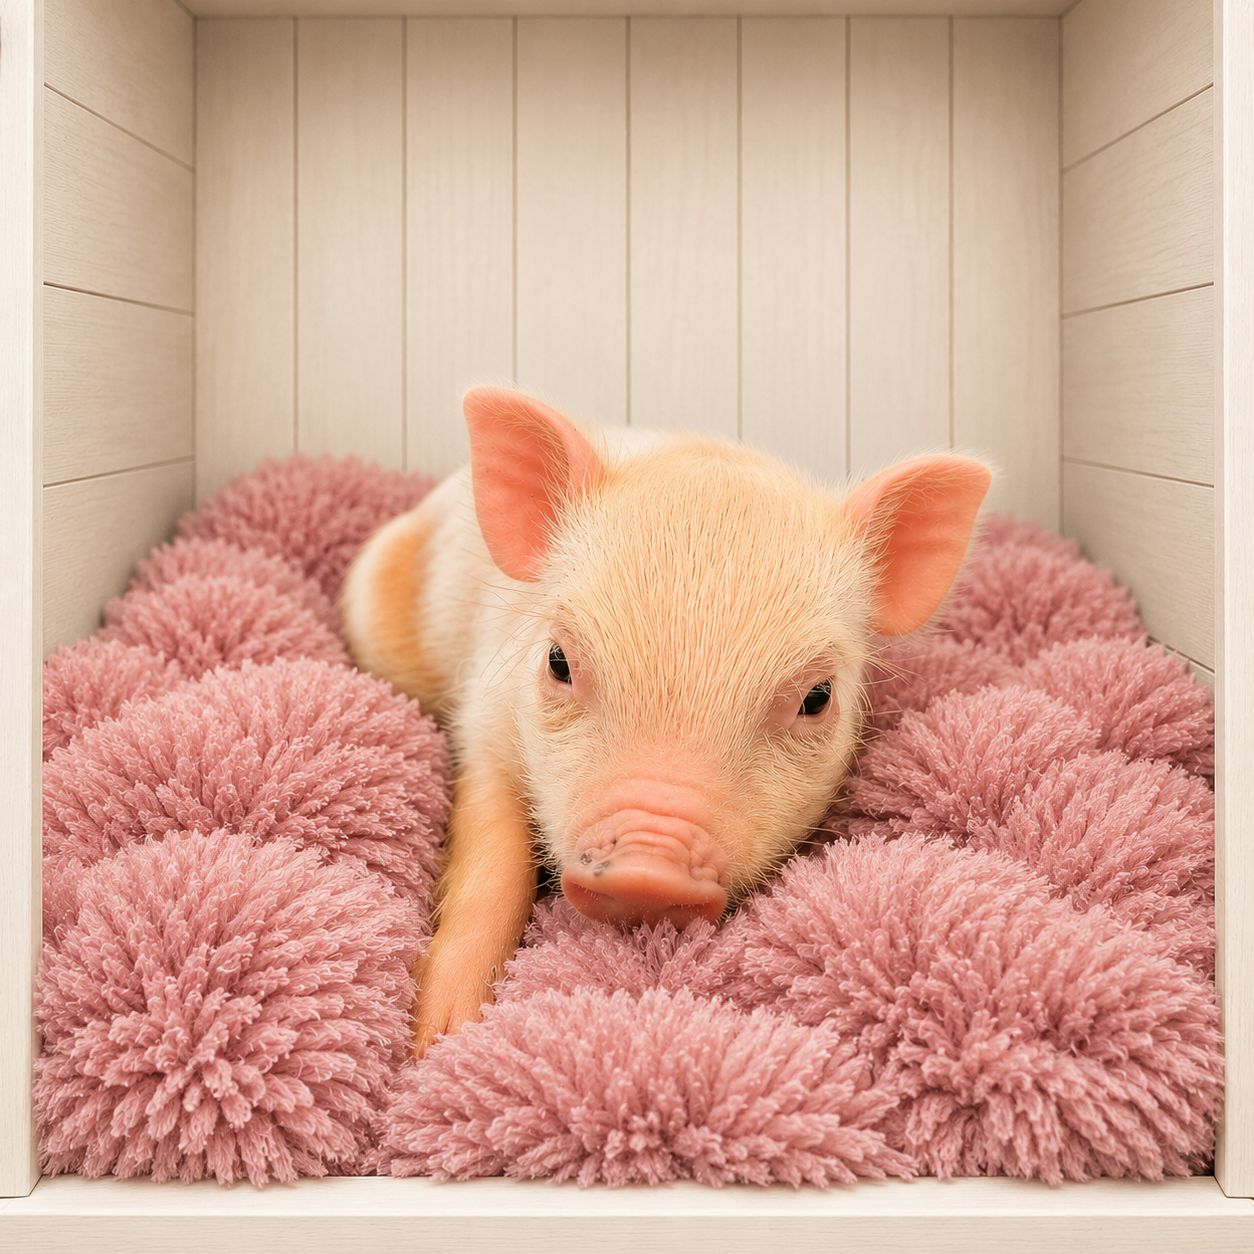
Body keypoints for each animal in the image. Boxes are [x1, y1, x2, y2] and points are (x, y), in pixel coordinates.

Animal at [341, 386, 990, 1054]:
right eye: (558, 661)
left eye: (817, 697)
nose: (645, 871)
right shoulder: (485, 718)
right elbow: (492, 858)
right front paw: (437, 1043)